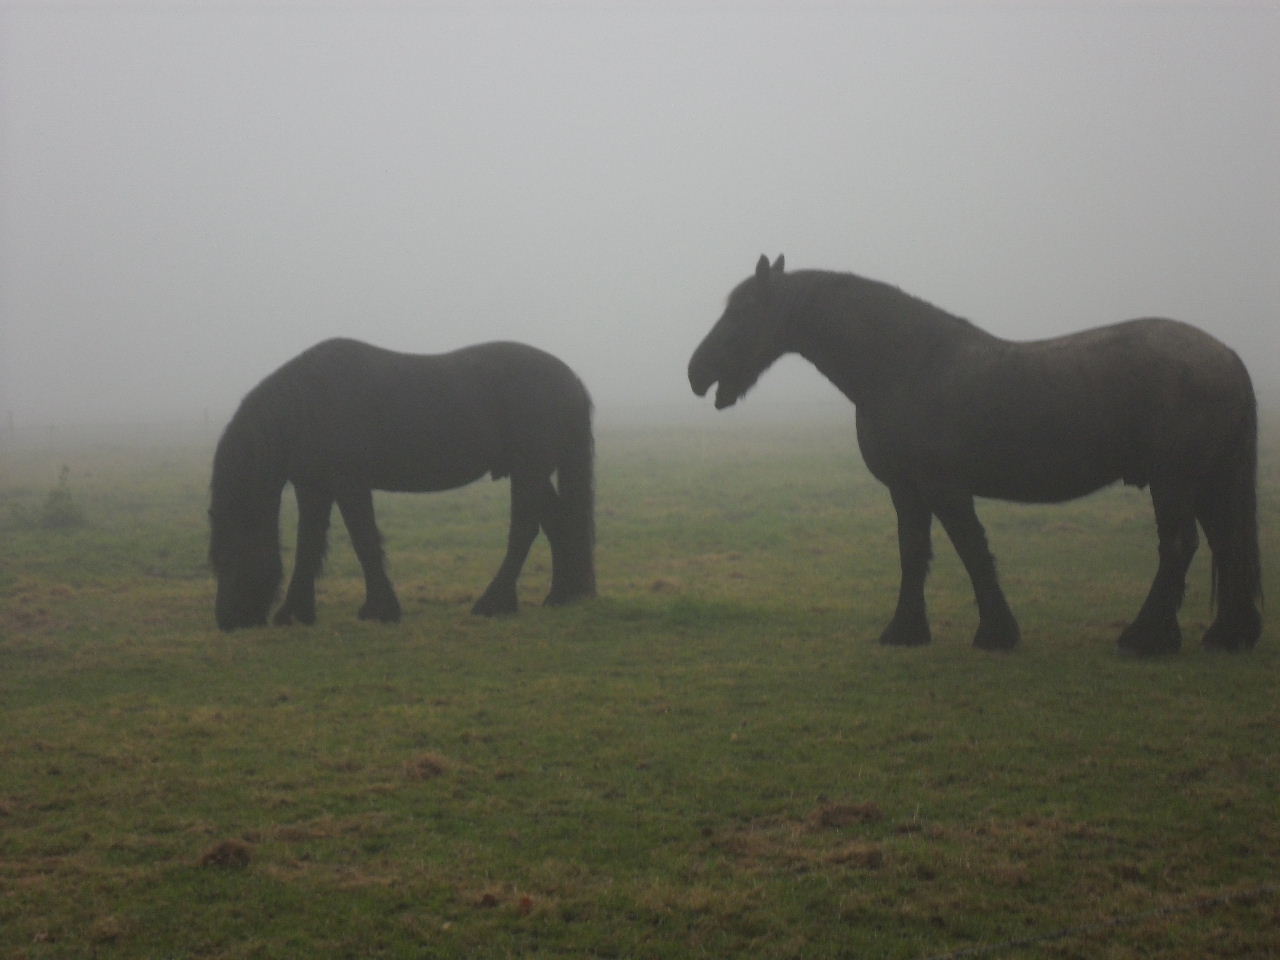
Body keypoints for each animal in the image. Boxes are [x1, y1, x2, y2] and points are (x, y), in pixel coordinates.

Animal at [209, 338, 595, 631]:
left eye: (229, 557)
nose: (228, 621)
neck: (306, 407)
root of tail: (572, 382)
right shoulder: (313, 487)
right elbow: (309, 546)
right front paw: (295, 613)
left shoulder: (348, 483)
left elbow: (363, 541)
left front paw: (380, 609)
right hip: (530, 472)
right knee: (560, 525)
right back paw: (561, 596)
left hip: (529, 470)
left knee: (524, 530)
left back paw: (493, 602)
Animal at [688, 255, 1261, 655]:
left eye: (742, 312)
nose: (696, 372)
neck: (905, 366)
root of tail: (1226, 356)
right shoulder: (907, 491)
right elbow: (914, 553)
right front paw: (905, 630)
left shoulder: (945, 488)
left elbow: (971, 551)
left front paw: (996, 632)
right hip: (1207, 483)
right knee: (1226, 545)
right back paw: (1226, 635)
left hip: (1175, 483)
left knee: (1179, 547)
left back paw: (1147, 638)